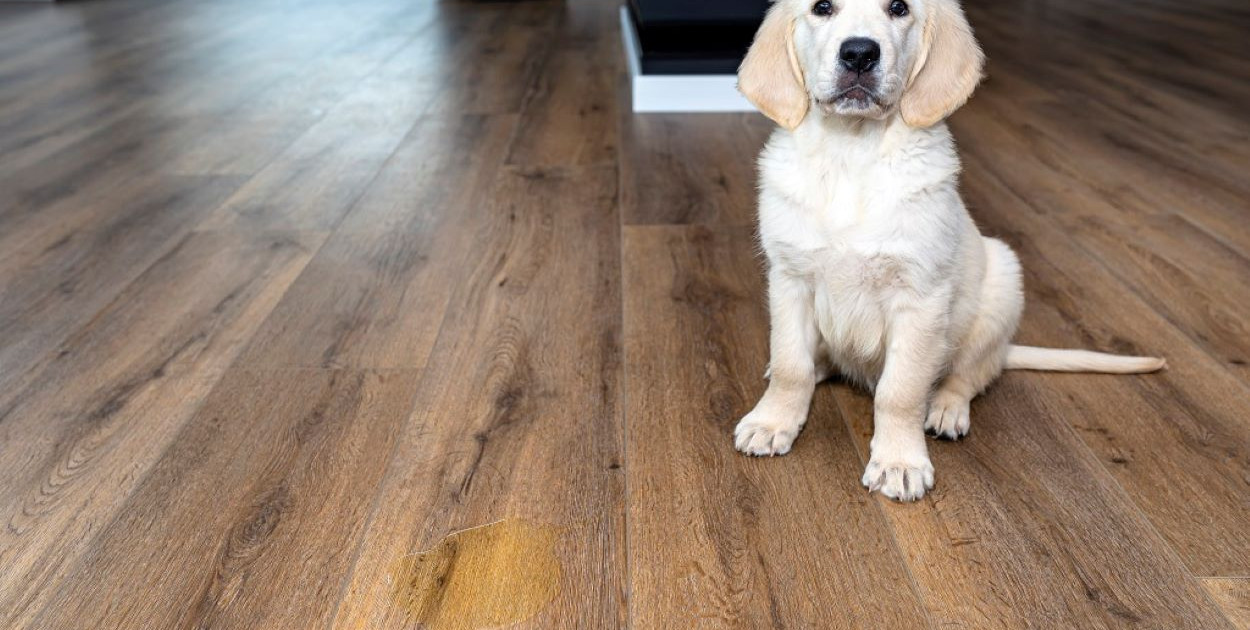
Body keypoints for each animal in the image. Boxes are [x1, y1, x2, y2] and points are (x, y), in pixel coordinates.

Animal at [733, 0, 1165, 501]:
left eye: (899, 8)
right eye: (822, 7)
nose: (859, 54)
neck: (853, 153)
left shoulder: (920, 298)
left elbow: (899, 391)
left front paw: (899, 461)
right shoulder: (790, 279)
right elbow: (791, 364)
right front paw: (772, 421)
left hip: (1002, 281)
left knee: (969, 374)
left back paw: (945, 409)